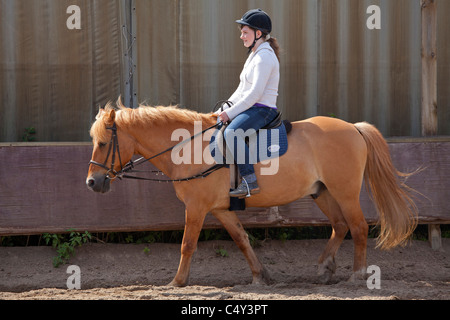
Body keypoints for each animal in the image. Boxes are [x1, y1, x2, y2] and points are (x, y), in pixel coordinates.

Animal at [86, 100, 416, 284]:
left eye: (102, 143)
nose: (92, 182)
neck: (188, 147)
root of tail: (353, 127)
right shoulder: (220, 209)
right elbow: (243, 241)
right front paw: (260, 276)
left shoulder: (197, 207)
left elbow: (187, 245)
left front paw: (177, 282)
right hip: (322, 192)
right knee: (340, 226)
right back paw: (324, 269)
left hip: (344, 192)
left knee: (358, 227)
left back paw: (357, 275)